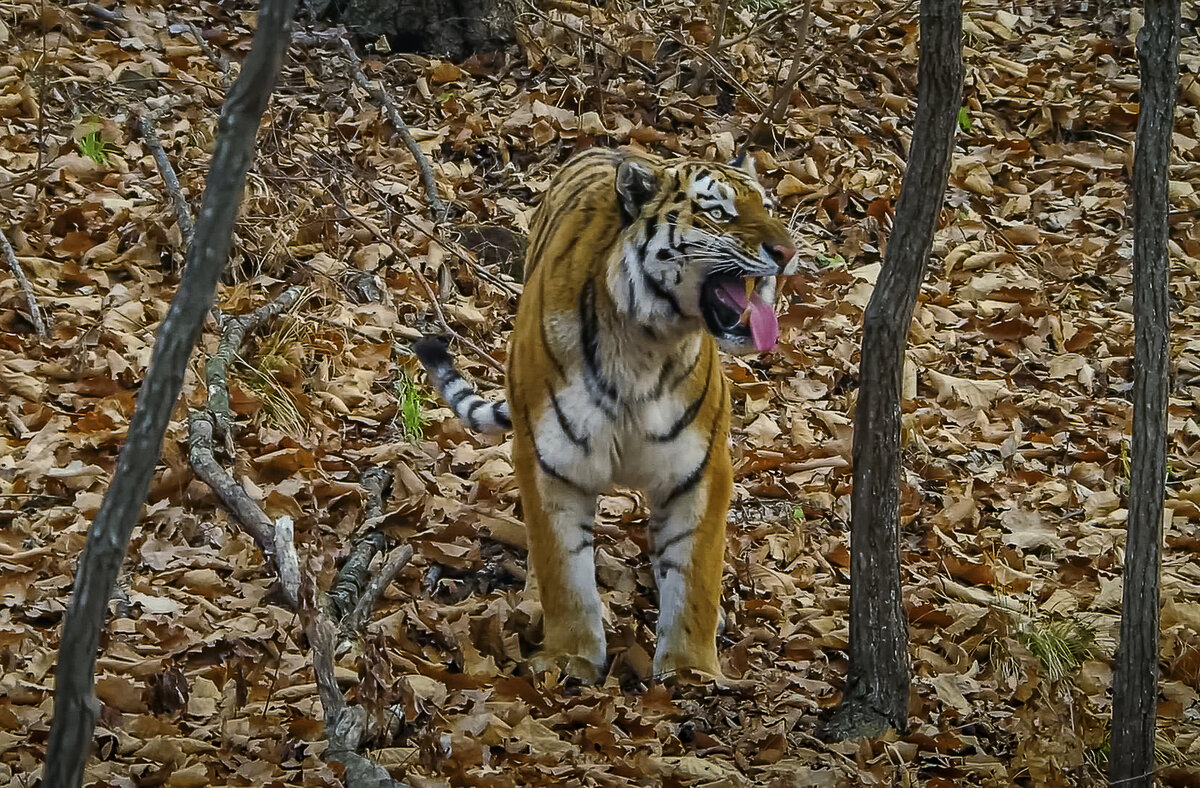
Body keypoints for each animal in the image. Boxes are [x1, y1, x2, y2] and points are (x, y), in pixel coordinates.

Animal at [415, 149, 796, 681]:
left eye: (768, 207)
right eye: (719, 212)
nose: (787, 251)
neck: (646, 344)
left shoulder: (700, 470)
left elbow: (695, 576)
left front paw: (691, 671)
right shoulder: (550, 464)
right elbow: (565, 574)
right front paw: (570, 657)